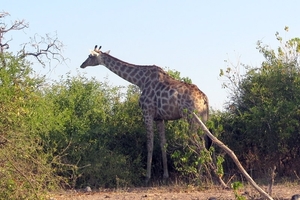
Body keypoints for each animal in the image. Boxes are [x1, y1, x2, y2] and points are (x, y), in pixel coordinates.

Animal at [79, 45, 211, 183]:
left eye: (90, 56)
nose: (82, 65)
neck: (140, 81)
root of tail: (204, 99)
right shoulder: (159, 118)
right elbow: (162, 144)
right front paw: (165, 175)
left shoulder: (147, 113)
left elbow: (149, 144)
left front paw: (147, 177)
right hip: (202, 120)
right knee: (205, 144)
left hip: (191, 119)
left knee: (200, 146)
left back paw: (199, 177)